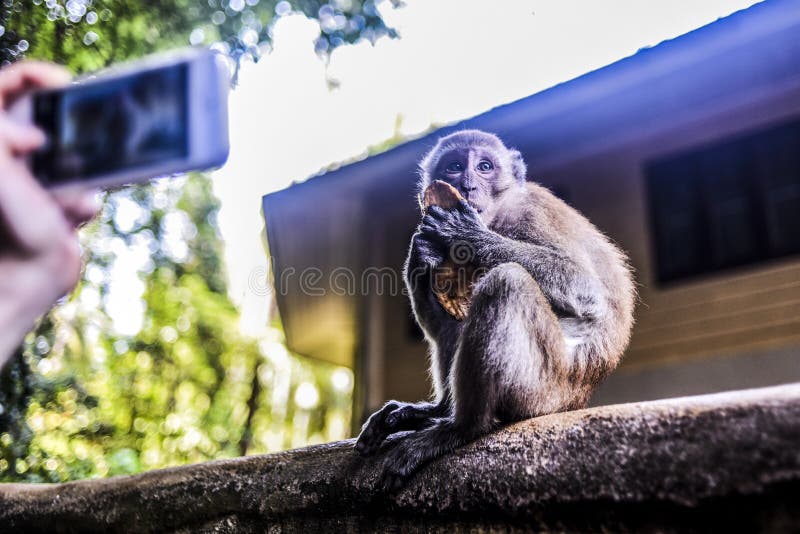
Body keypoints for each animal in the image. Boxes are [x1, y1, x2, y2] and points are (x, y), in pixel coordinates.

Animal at [356, 129, 636, 490]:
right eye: (454, 166)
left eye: (484, 166)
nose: (467, 184)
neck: (496, 216)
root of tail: (577, 398)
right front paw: (420, 256)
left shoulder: (531, 213)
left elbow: (584, 288)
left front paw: (465, 233)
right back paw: (439, 411)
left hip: (542, 388)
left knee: (506, 282)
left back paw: (462, 427)